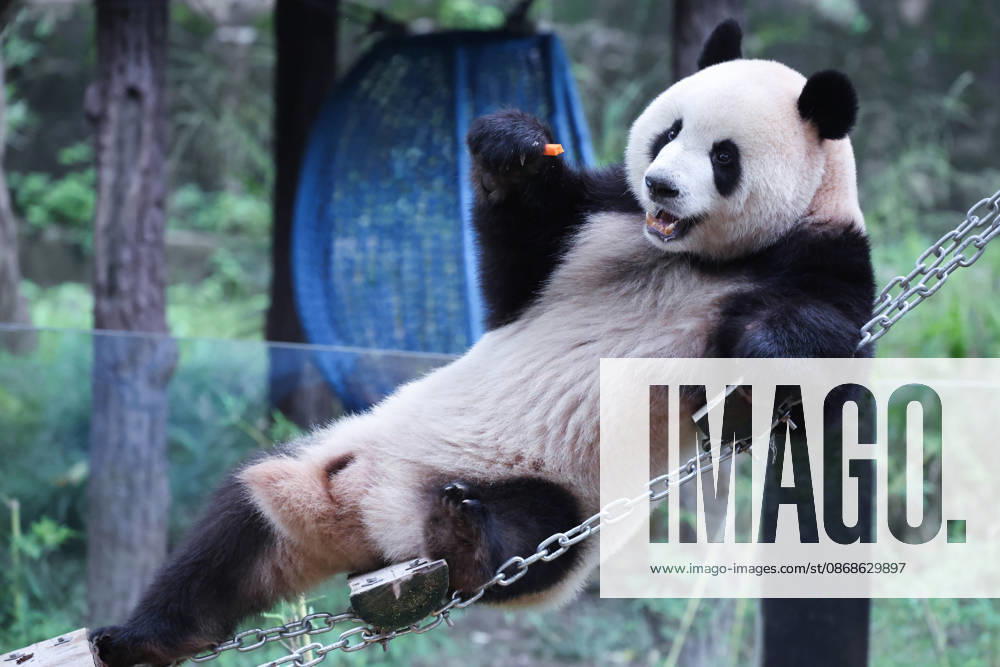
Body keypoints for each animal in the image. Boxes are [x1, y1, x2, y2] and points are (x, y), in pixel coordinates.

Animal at [93, 20, 874, 667]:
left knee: (531, 539)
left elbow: (814, 388)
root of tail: (376, 527)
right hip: (324, 459)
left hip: (561, 495)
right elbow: (515, 266)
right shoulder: (596, 220)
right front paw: (513, 148)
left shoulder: (823, 257)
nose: (660, 186)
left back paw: (467, 538)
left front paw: (761, 348)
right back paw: (145, 636)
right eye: (667, 133)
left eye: (722, 156)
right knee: (231, 535)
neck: (691, 257)